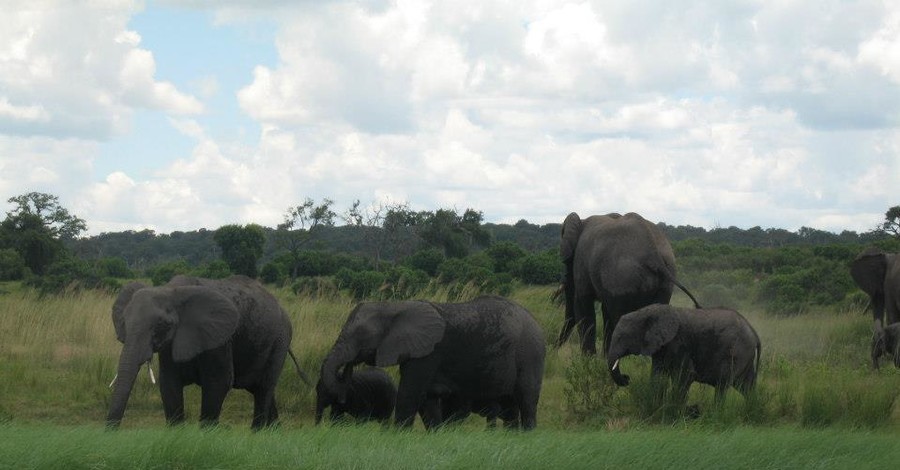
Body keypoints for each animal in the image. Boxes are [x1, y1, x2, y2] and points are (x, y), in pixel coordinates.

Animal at [106, 276, 306, 430]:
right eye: (124, 322)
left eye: (162, 325)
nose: (109, 432)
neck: (171, 290)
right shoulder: (171, 345)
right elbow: (169, 383)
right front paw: (175, 434)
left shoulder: (220, 340)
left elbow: (218, 382)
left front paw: (206, 437)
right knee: (262, 389)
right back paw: (274, 431)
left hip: (279, 340)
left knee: (264, 387)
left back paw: (257, 433)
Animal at [320, 298, 544, 430]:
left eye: (361, 336)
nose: (346, 369)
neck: (395, 307)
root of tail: (535, 321)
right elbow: (426, 398)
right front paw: (437, 434)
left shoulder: (428, 353)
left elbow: (410, 393)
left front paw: (398, 435)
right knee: (509, 406)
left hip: (530, 354)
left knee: (526, 399)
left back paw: (527, 435)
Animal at [560, 213, 700, 378]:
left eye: (566, 262)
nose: (554, 350)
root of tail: (653, 253)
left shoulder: (582, 265)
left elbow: (583, 305)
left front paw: (588, 362)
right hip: (664, 281)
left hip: (622, 277)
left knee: (620, 318)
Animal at [604, 302, 760, 402]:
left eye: (622, 337)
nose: (627, 378)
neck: (645, 312)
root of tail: (753, 330)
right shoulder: (662, 347)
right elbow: (657, 375)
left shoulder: (679, 343)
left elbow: (685, 376)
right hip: (745, 356)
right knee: (746, 386)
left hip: (737, 351)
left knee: (722, 384)